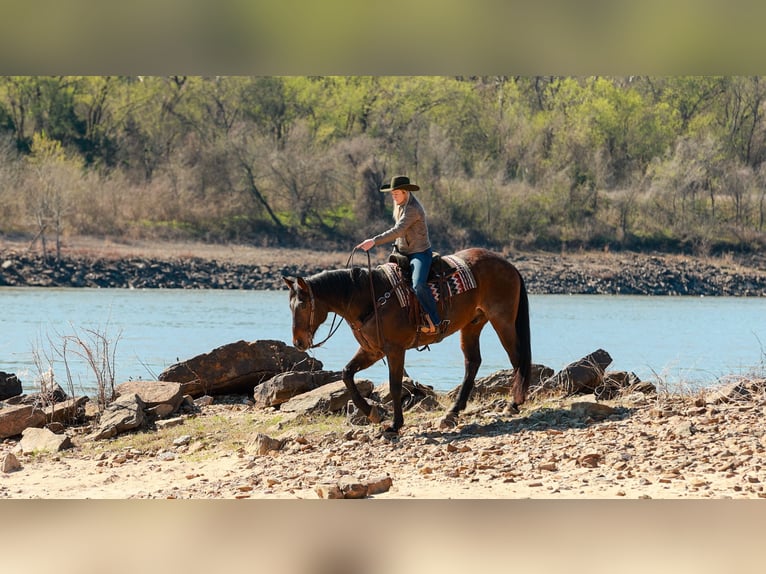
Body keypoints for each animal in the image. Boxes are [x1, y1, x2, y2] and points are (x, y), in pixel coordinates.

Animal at [283, 247, 531, 434]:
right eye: (290, 305)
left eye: (302, 305)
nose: (298, 342)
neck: (370, 298)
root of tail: (508, 265)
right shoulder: (372, 350)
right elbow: (347, 374)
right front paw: (373, 413)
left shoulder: (394, 350)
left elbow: (394, 386)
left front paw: (394, 424)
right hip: (472, 324)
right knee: (473, 362)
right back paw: (453, 411)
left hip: (502, 320)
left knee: (516, 358)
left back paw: (513, 403)